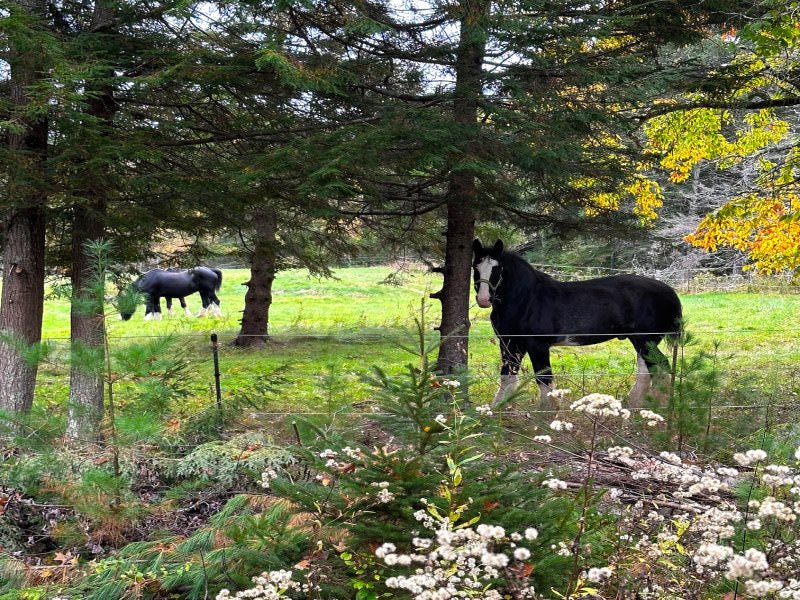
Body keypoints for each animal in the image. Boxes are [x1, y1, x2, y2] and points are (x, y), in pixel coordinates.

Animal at [472, 240, 684, 408]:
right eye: (475, 267)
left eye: (498, 268)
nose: (483, 299)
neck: (527, 299)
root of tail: (670, 292)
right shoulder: (509, 343)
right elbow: (507, 375)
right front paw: (498, 407)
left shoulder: (537, 345)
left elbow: (544, 378)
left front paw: (547, 411)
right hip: (641, 341)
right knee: (646, 369)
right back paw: (634, 403)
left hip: (646, 340)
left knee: (660, 367)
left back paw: (660, 406)